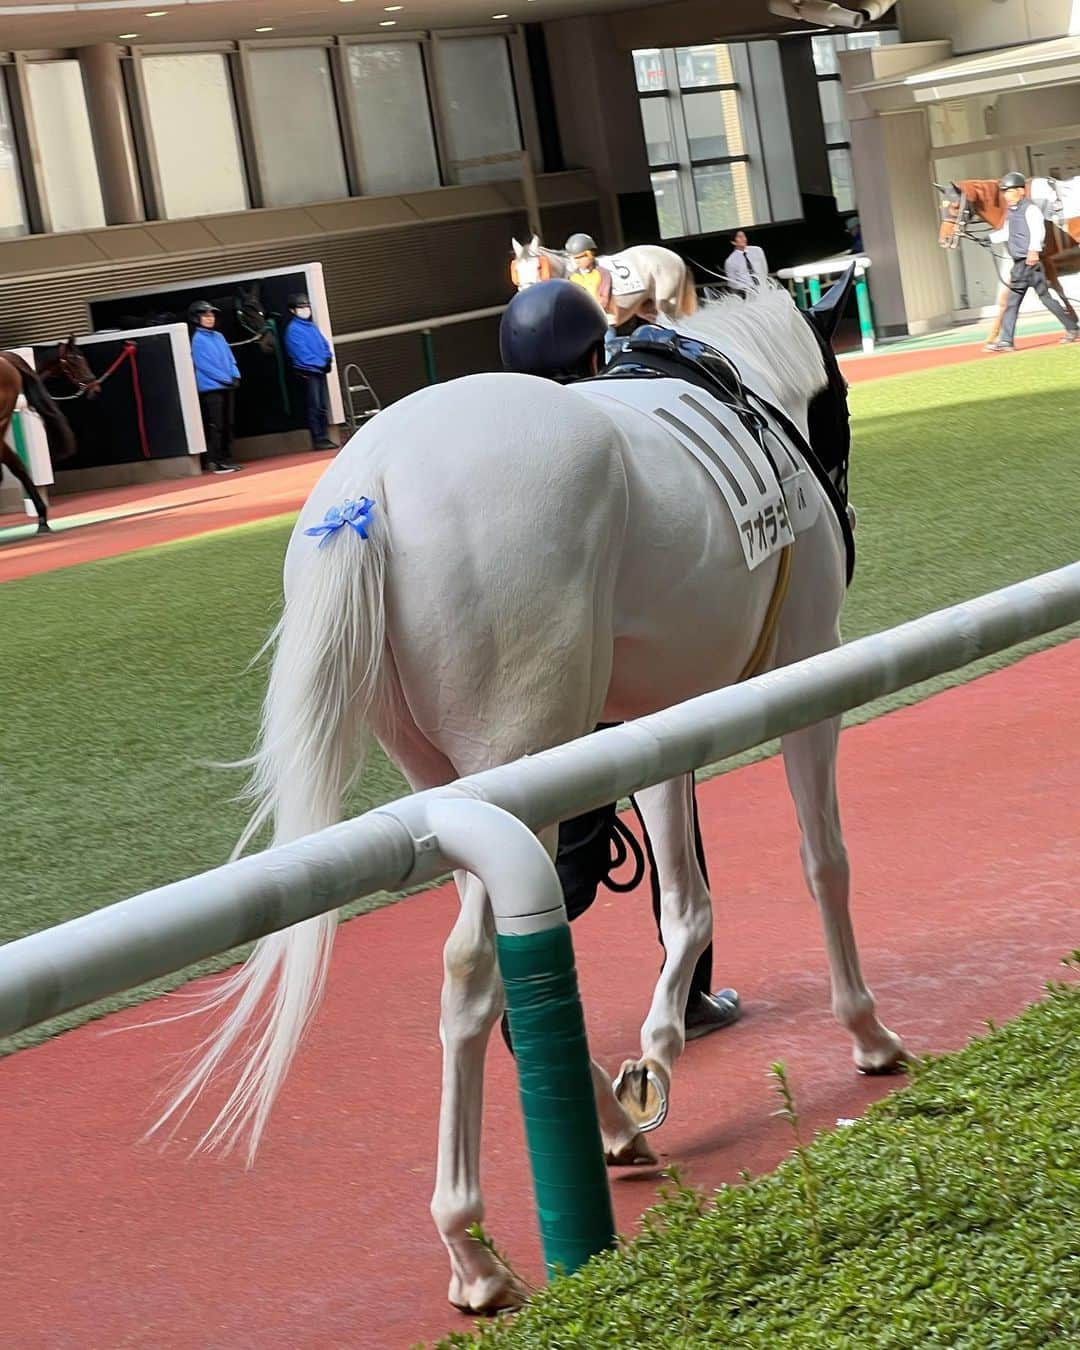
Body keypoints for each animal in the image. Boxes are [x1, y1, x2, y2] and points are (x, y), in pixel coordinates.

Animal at [151, 282, 907, 1317]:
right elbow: (822, 860)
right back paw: (471, 1247)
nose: (850, 504)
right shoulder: (807, 673)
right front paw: (866, 1032)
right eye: (840, 401)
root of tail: (371, 481)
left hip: (453, 778)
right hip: (524, 744)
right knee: (473, 970)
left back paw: (614, 1126)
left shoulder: (657, 719)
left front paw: (658, 1049)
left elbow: (684, 898)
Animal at [507, 233, 702, 322]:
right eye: (516, 270)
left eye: (539, 267)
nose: (526, 294)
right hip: (648, 306)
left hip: (668, 304)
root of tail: (676, 258)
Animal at [934, 176, 1080, 345]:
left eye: (955, 206)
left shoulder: (1031, 259)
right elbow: (1057, 287)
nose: (943, 240)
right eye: (941, 207)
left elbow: (1005, 298)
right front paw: (1073, 323)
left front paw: (992, 339)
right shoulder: (1043, 258)